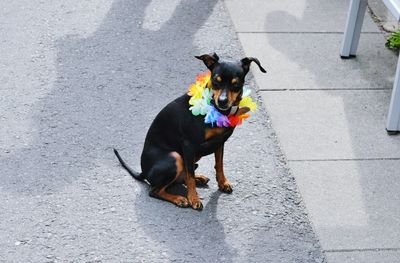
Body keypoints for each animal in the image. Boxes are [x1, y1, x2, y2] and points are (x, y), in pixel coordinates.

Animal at [114, 53, 268, 210]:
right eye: (215, 80)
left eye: (236, 83)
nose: (222, 101)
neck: (217, 109)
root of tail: (143, 172)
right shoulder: (188, 145)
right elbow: (190, 176)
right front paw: (194, 198)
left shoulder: (220, 142)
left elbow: (219, 164)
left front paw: (222, 183)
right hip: (175, 157)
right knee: (155, 190)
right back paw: (179, 198)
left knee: (182, 176)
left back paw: (198, 178)